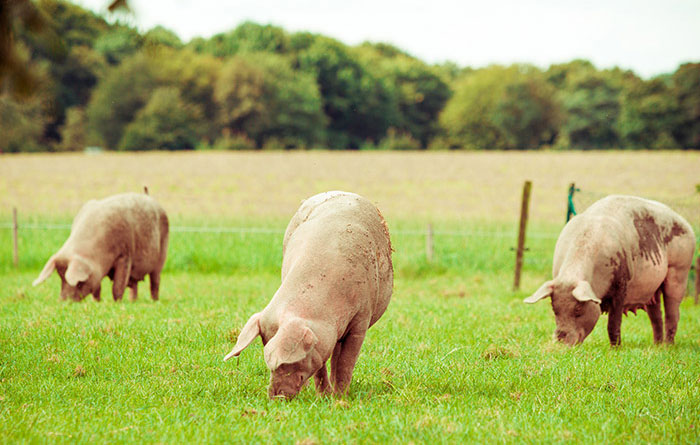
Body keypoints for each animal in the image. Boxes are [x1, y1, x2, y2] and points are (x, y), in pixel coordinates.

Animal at [32, 191, 170, 302]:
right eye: (60, 278)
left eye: (79, 283)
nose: (63, 301)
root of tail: (147, 195)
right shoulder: (96, 269)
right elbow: (97, 287)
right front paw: (97, 302)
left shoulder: (125, 255)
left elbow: (118, 285)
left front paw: (117, 302)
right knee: (134, 285)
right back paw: (133, 301)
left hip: (162, 254)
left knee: (155, 281)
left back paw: (154, 301)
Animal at [223, 191, 394, 398]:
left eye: (288, 362)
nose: (276, 397)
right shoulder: (320, 338)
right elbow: (321, 365)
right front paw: (324, 396)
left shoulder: (361, 318)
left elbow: (346, 362)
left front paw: (340, 398)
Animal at [524, 195, 696, 346]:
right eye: (554, 309)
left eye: (578, 309)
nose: (560, 342)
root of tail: (688, 225)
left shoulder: (621, 284)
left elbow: (613, 323)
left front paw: (616, 348)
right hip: (653, 288)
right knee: (656, 315)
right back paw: (657, 346)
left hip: (680, 271)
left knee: (673, 313)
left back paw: (668, 346)